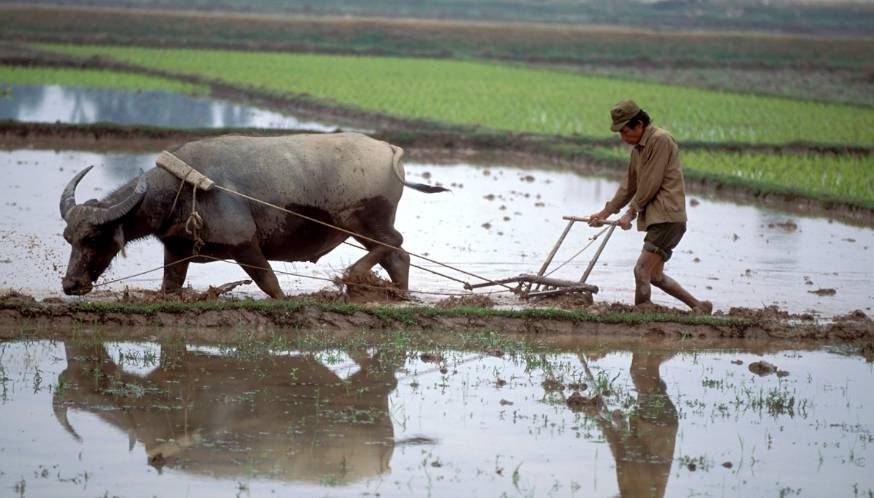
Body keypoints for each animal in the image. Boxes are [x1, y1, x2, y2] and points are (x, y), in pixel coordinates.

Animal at [59, 130, 442, 298]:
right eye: (69, 238)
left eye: (93, 237)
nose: (70, 284)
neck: (181, 188)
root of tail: (390, 148)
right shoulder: (177, 250)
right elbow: (170, 286)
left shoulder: (245, 245)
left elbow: (270, 284)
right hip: (362, 228)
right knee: (397, 256)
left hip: (366, 221)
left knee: (394, 244)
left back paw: (352, 275)